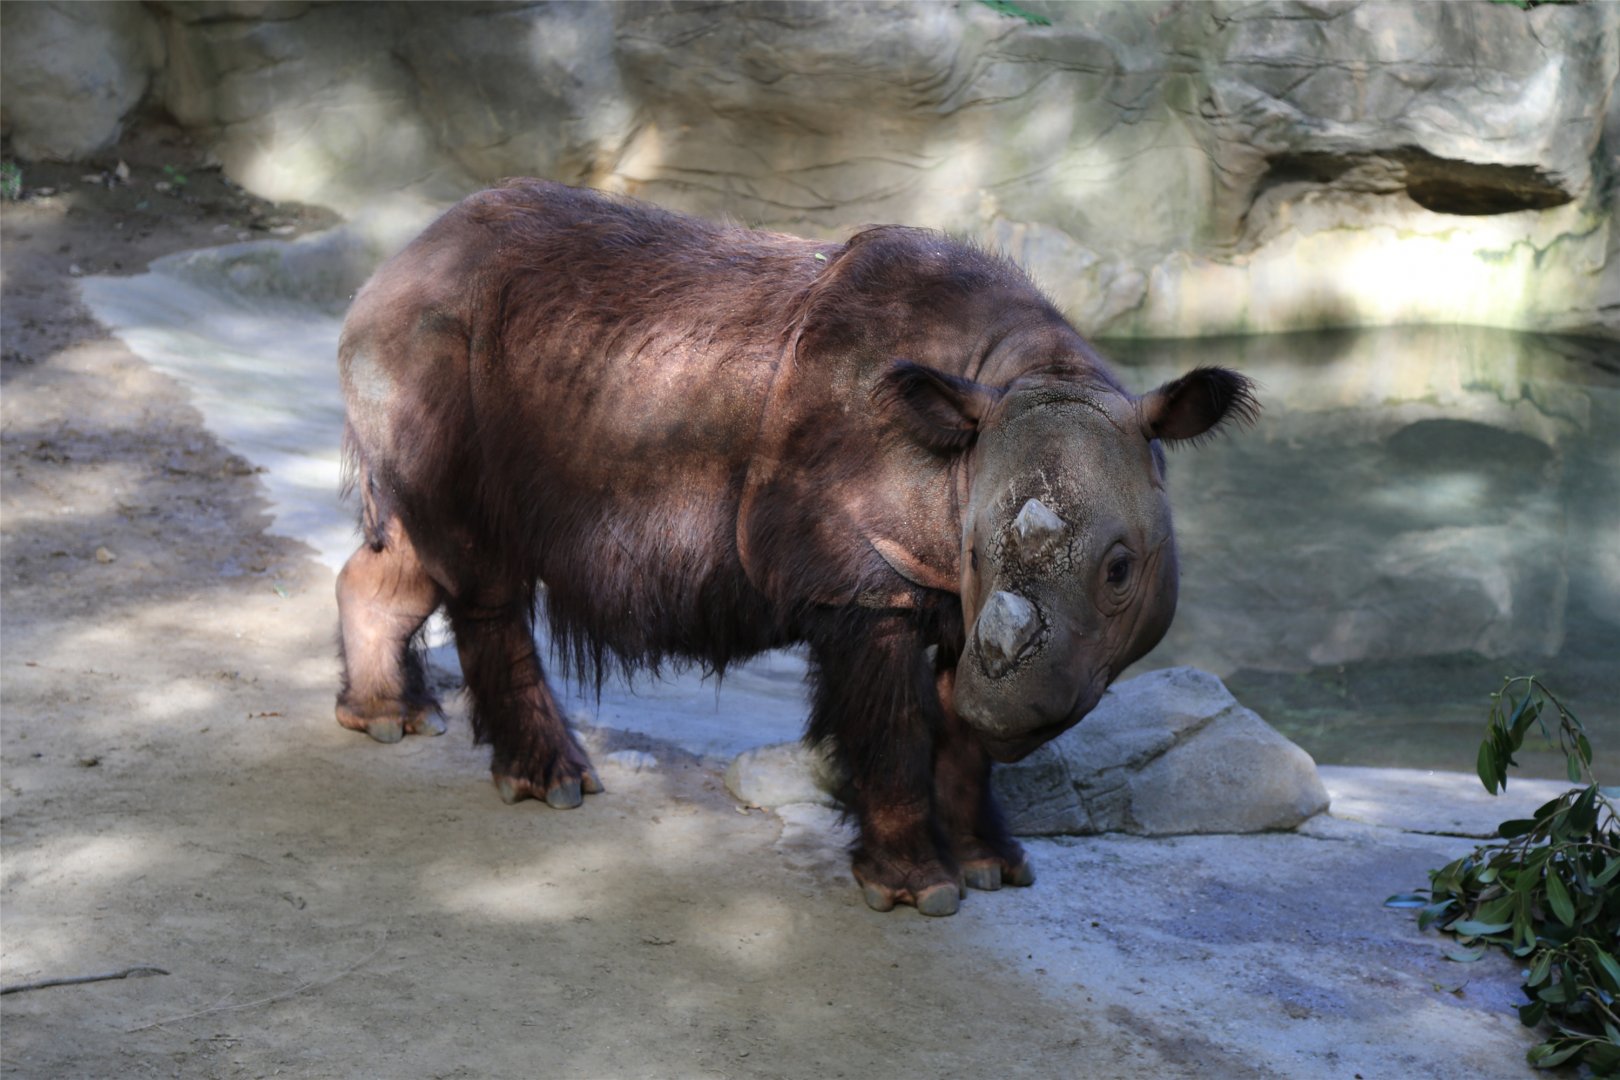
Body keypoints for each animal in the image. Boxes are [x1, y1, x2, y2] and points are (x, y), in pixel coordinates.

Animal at [335, 181, 1256, 916]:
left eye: (1119, 570)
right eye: (976, 552)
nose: (1007, 712)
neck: (1027, 371)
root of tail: (392, 264)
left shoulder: (949, 585)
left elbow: (955, 734)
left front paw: (996, 868)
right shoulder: (862, 585)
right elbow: (897, 728)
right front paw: (919, 893)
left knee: (422, 548)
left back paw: (389, 722)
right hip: (432, 343)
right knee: (481, 566)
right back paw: (555, 786)